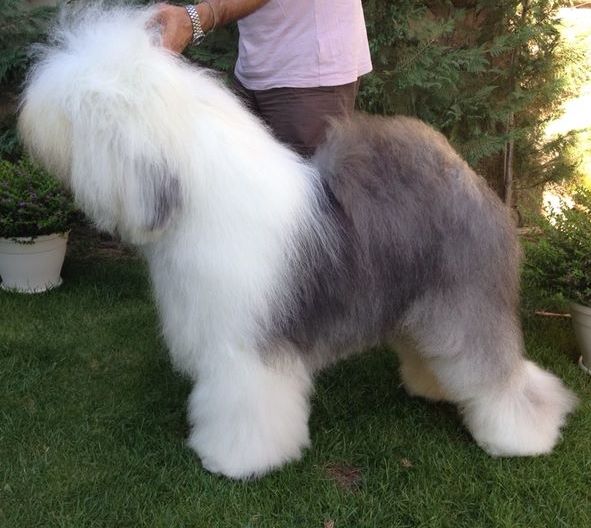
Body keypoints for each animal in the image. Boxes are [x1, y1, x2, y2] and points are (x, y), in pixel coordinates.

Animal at [18, 4, 577, 479]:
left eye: (77, 104)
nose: (28, 119)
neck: (195, 192)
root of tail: (464, 173)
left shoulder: (243, 350)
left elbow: (245, 410)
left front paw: (232, 460)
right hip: (421, 304)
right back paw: (435, 387)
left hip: (465, 300)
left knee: (501, 374)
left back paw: (522, 435)